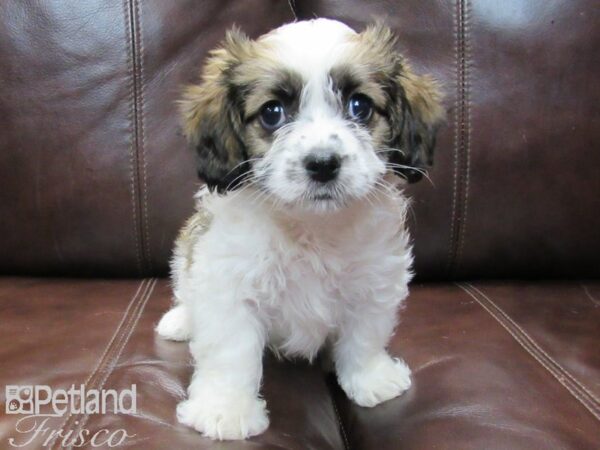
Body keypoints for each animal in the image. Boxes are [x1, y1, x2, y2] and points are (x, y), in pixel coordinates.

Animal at [157, 19, 442, 442]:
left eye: (360, 106)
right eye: (272, 112)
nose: (322, 163)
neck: (311, 226)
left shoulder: (373, 281)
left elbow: (365, 335)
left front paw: (370, 379)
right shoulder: (229, 284)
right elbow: (231, 352)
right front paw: (225, 410)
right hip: (187, 252)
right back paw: (180, 320)